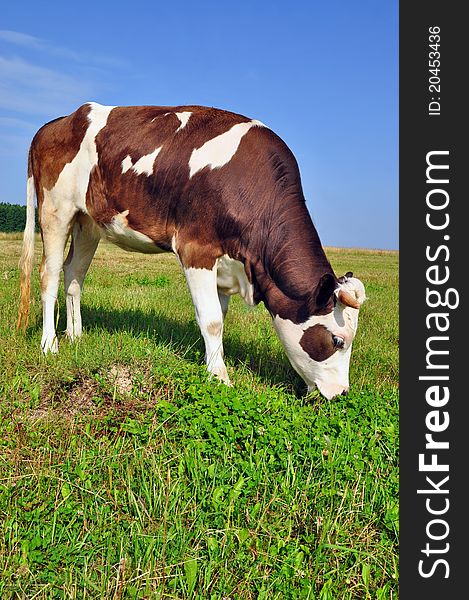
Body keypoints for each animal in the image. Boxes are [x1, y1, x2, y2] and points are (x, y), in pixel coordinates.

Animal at [16, 104, 366, 398]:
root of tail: (60, 120)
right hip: (55, 210)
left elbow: (218, 317)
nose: (342, 393)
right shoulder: (197, 250)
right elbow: (210, 320)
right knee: (48, 276)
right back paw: (50, 344)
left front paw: (211, 364)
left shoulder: (226, 266)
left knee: (74, 274)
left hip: (87, 221)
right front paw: (221, 377)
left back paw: (76, 335)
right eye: (337, 340)